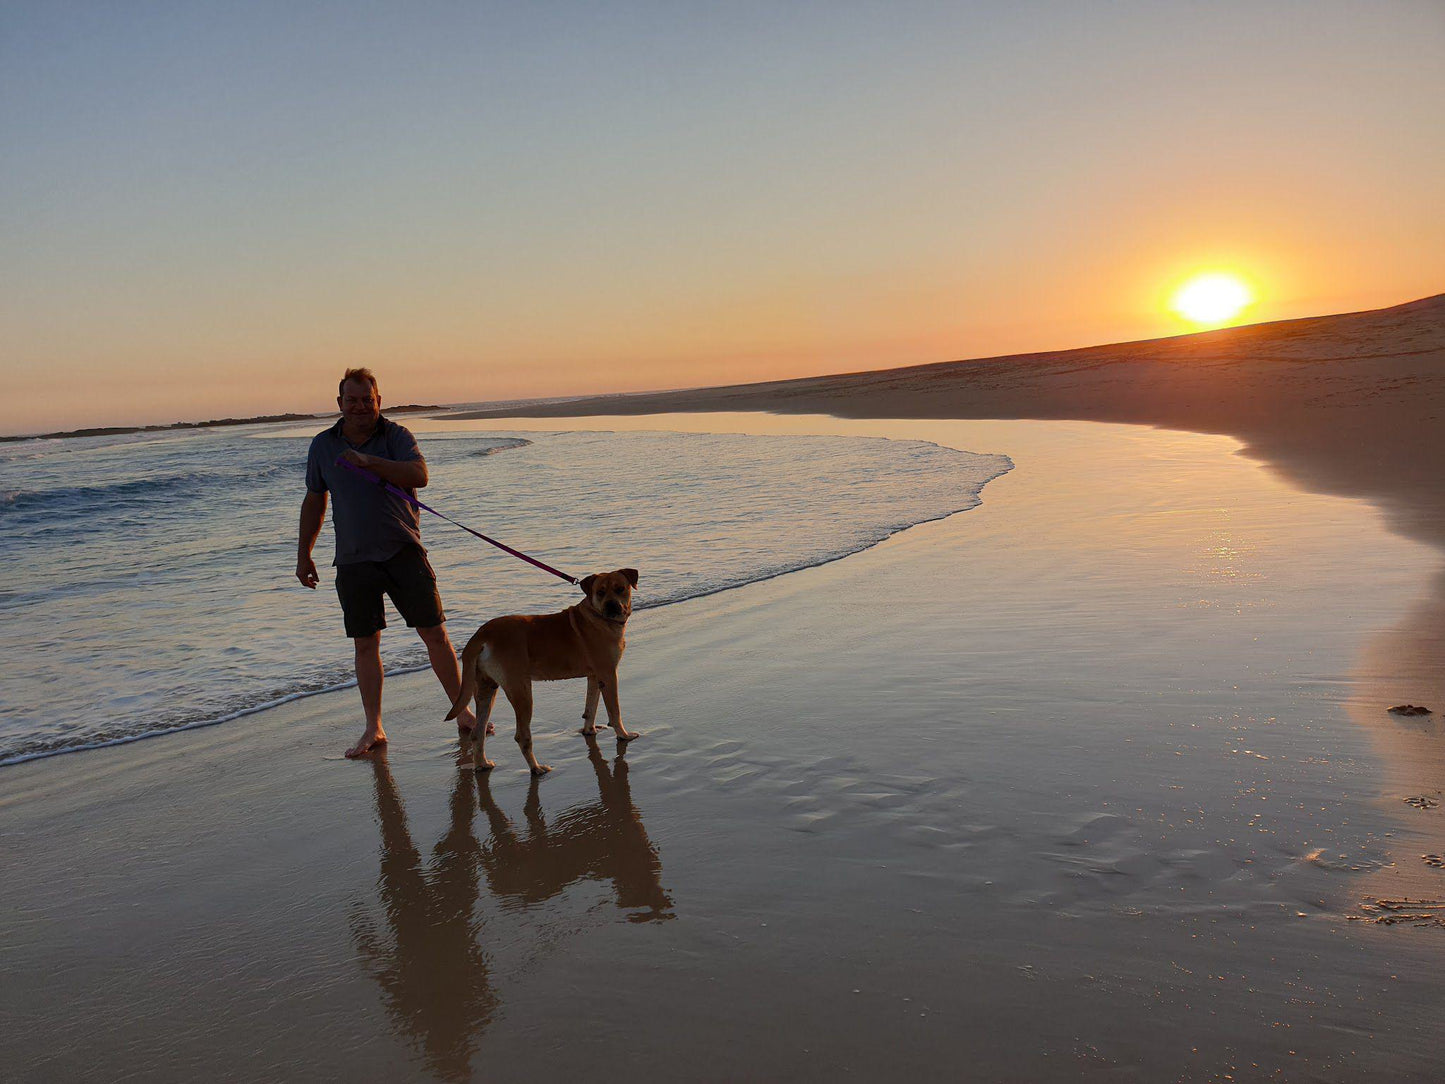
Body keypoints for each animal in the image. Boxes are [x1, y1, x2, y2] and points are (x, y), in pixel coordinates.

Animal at [445, 569, 638, 774]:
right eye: (600, 592)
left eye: (620, 589)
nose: (611, 605)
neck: (598, 617)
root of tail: (481, 635)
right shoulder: (608, 674)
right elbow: (614, 711)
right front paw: (623, 734)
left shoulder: (594, 676)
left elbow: (590, 707)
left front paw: (589, 730)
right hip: (521, 690)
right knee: (522, 736)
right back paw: (536, 768)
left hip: (485, 688)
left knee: (477, 732)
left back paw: (482, 764)